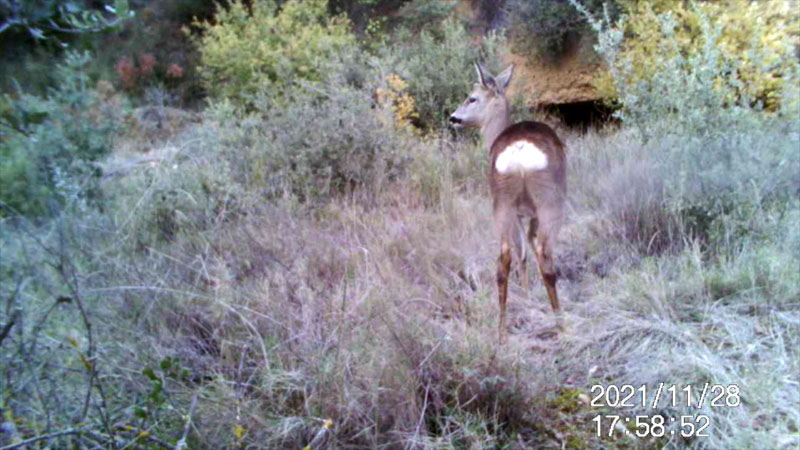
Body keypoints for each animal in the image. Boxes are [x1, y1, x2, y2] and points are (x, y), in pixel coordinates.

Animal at [446, 60, 564, 342]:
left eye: (472, 98)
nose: (452, 118)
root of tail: (519, 152)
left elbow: (522, 252)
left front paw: (526, 293)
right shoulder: (530, 213)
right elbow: (529, 248)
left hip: (501, 203)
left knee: (504, 260)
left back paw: (501, 332)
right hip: (549, 201)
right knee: (543, 254)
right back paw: (561, 325)